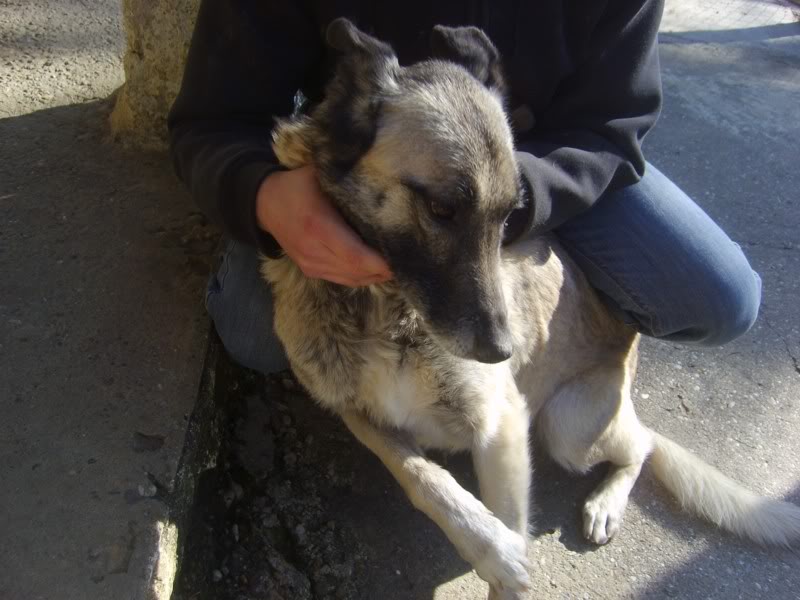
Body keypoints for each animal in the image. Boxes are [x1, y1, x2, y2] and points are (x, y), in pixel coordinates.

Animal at [262, 16, 800, 596]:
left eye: (509, 215)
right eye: (442, 208)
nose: (503, 351)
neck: (387, 311)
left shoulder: (503, 423)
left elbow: (508, 533)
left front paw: (503, 558)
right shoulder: (361, 415)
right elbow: (423, 479)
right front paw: (491, 546)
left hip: (566, 426)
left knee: (643, 445)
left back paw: (606, 502)